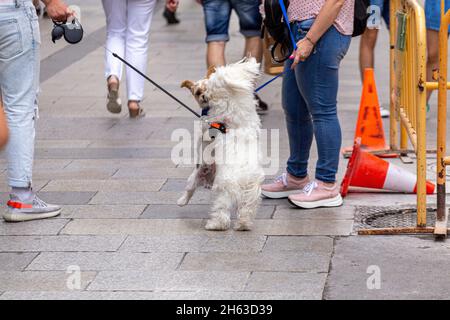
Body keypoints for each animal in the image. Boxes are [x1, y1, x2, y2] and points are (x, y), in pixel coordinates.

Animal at [178, 57, 266, 231]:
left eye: (207, 87)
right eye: (197, 92)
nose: (204, 96)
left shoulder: (209, 123)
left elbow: (204, 127)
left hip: (216, 187)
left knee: (217, 207)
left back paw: (212, 223)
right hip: (249, 194)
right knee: (246, 210)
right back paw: (243, 225)